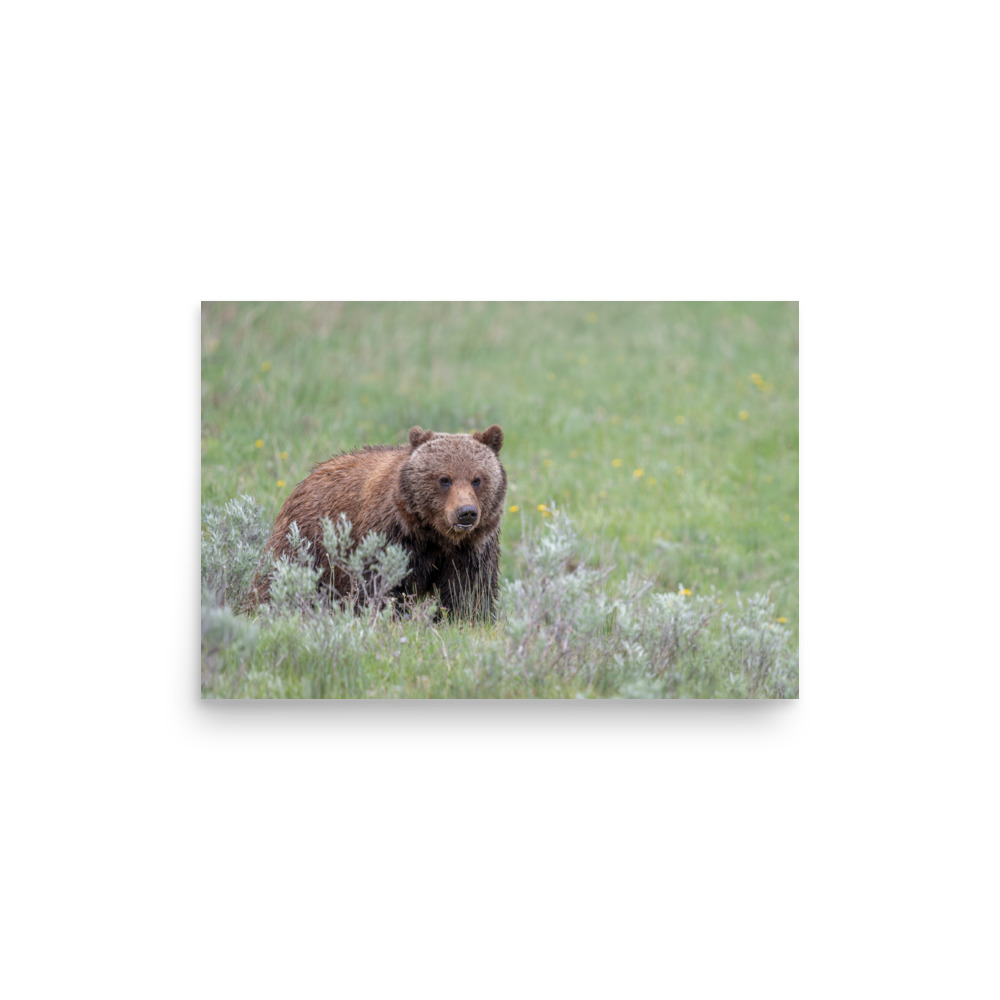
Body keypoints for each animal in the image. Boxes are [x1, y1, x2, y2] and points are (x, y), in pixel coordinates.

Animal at [254, 424, 507, 620]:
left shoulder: (472, 547)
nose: (466, 513)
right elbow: (379, 584)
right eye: (444, 479)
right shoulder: (391, 536)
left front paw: (466, 619)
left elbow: (468, 591)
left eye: (477, 479)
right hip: (306, 541)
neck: (433, 533)